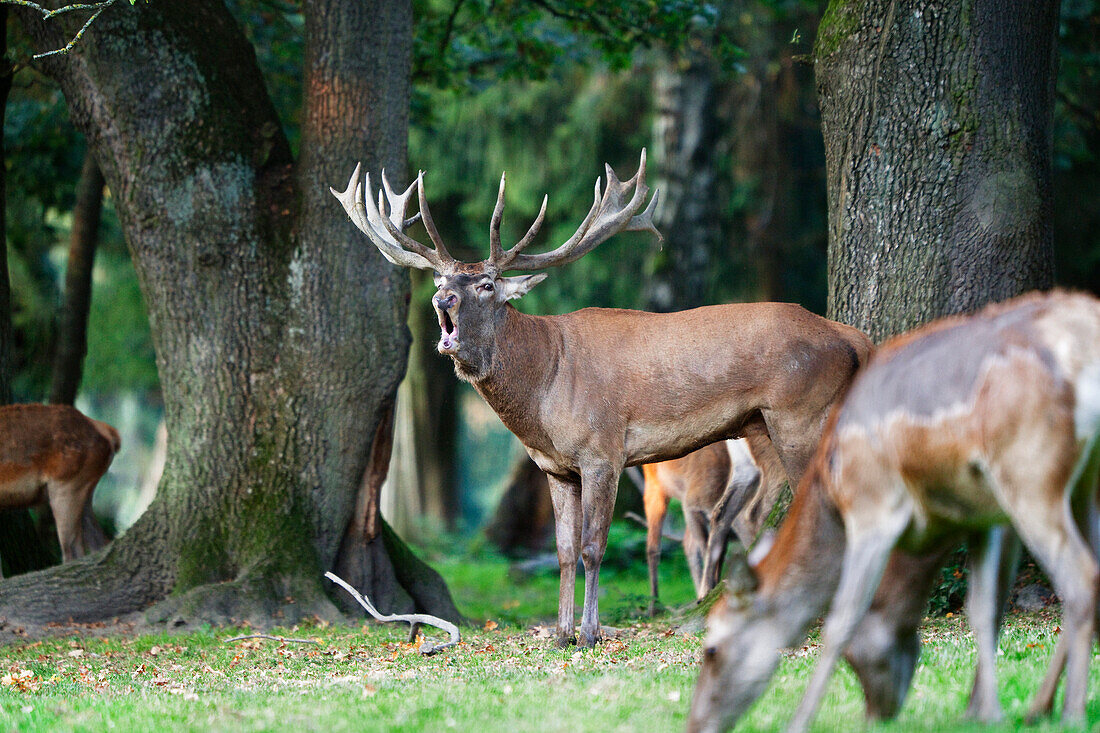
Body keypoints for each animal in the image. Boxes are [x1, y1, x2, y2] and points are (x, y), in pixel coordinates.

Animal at [642, 431, 787, 611]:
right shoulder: (691, 502)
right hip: (655, 485)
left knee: (689, 540)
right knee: (653, 545)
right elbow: (707, 545)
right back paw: (654, 606)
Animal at [686, 290, 1100, 730]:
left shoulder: (873, 509)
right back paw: (1044, 707)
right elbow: (985, 609)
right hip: (1085, 484)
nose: (696, 723)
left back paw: (1072, 713)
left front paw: (798, 722)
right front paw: (984, 712)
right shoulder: (981, 518)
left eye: (712, 649)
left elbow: (842, 619)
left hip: (1030, 476)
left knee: (1079, 578)